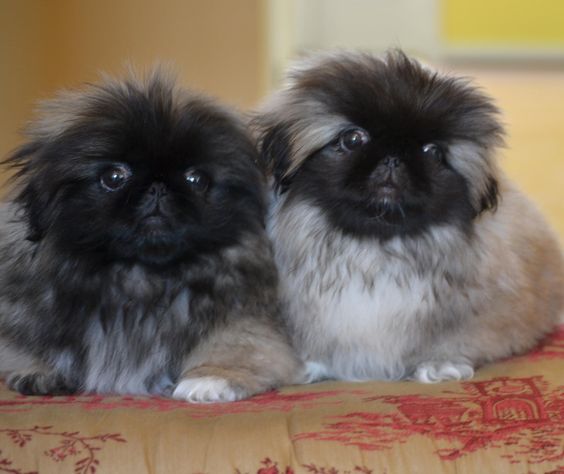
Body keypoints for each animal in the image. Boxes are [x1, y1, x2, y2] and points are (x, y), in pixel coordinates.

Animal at [0, 69, 304, 400]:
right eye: (114, 177)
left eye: (196, 179)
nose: (158, 186)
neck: (140, 278)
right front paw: (39, 370)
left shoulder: (244, 320)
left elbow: (237, 347)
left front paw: (212, 378)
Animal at [256, 50, 564, 384]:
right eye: (353, 139)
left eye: (432, 152)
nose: (393, 158)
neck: (375, 249)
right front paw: (313, 366)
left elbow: (459, 339)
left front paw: (442, 364)